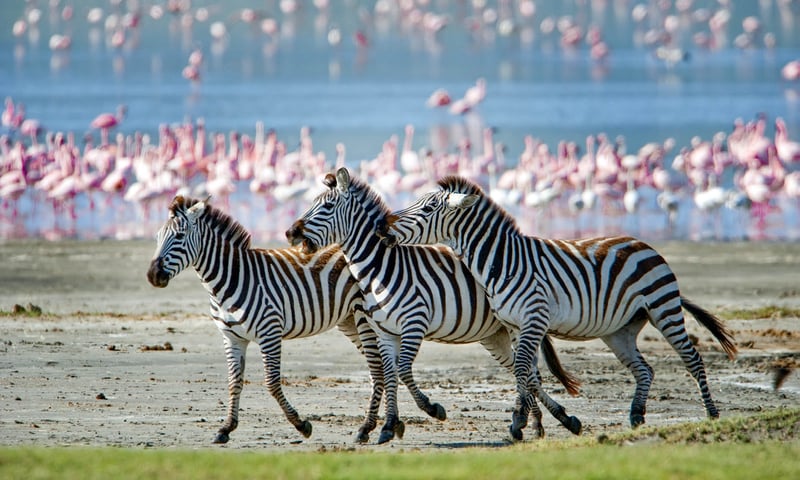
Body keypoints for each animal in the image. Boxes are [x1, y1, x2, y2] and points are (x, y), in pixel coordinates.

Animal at [146, 195, 387, 444]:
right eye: (157, 238)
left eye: (179, 236)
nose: (153, 275)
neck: (229, 280)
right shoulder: (232, 338)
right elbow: (234, 382)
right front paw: (226, 428)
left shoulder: (269, 332)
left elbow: (271, 382)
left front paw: (301, 425)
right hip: (349, 320)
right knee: (378, 368)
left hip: (364, 318)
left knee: (378, 368)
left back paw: (368, 427)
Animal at [285, 168, 582, 444]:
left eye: (326, 207)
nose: (290, 233)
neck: (381, 266)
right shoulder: (383, 330)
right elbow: (390, 373)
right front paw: (388, 426)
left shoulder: (412, 323)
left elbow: (401, 370)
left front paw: (430, 409)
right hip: (496, 335)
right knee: (525, 371)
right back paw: (535, 423)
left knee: (530, 372)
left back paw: (546, 421)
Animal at [376, 175, 738, 441]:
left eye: (427, 209)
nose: (382, 227)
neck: (501, 261)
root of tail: (642, 244)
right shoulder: (516, 325)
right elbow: (526, 371)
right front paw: (530, 421)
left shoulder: (533, 319)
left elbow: (524, 368)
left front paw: (518, 421)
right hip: (619, 331)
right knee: (645, 369)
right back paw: (636, 415)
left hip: (664, 308)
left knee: (693, 359)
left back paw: (711, 415)